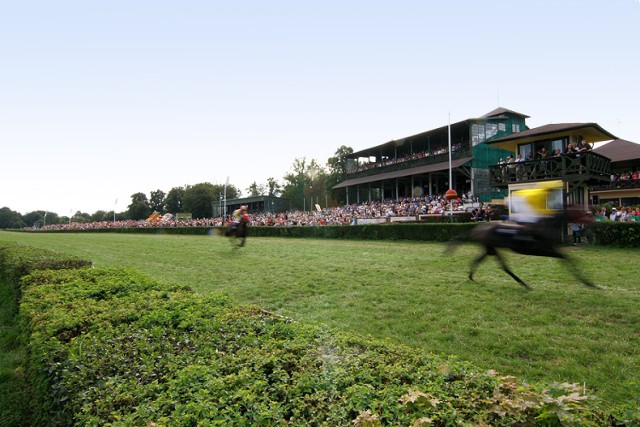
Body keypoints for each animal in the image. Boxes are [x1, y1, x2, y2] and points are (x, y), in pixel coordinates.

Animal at [448, 208, 596, 290]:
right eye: (581, 212)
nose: (592, 217)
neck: (545, 227)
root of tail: (478, 228)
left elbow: (565, 257)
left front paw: (589, 283)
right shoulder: (540, 249)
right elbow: (565, 257)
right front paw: (588, 282)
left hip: (490, 248)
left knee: (481, 260)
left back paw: (471, 276)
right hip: (491, 247)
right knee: (504, 266)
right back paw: (524, 284)